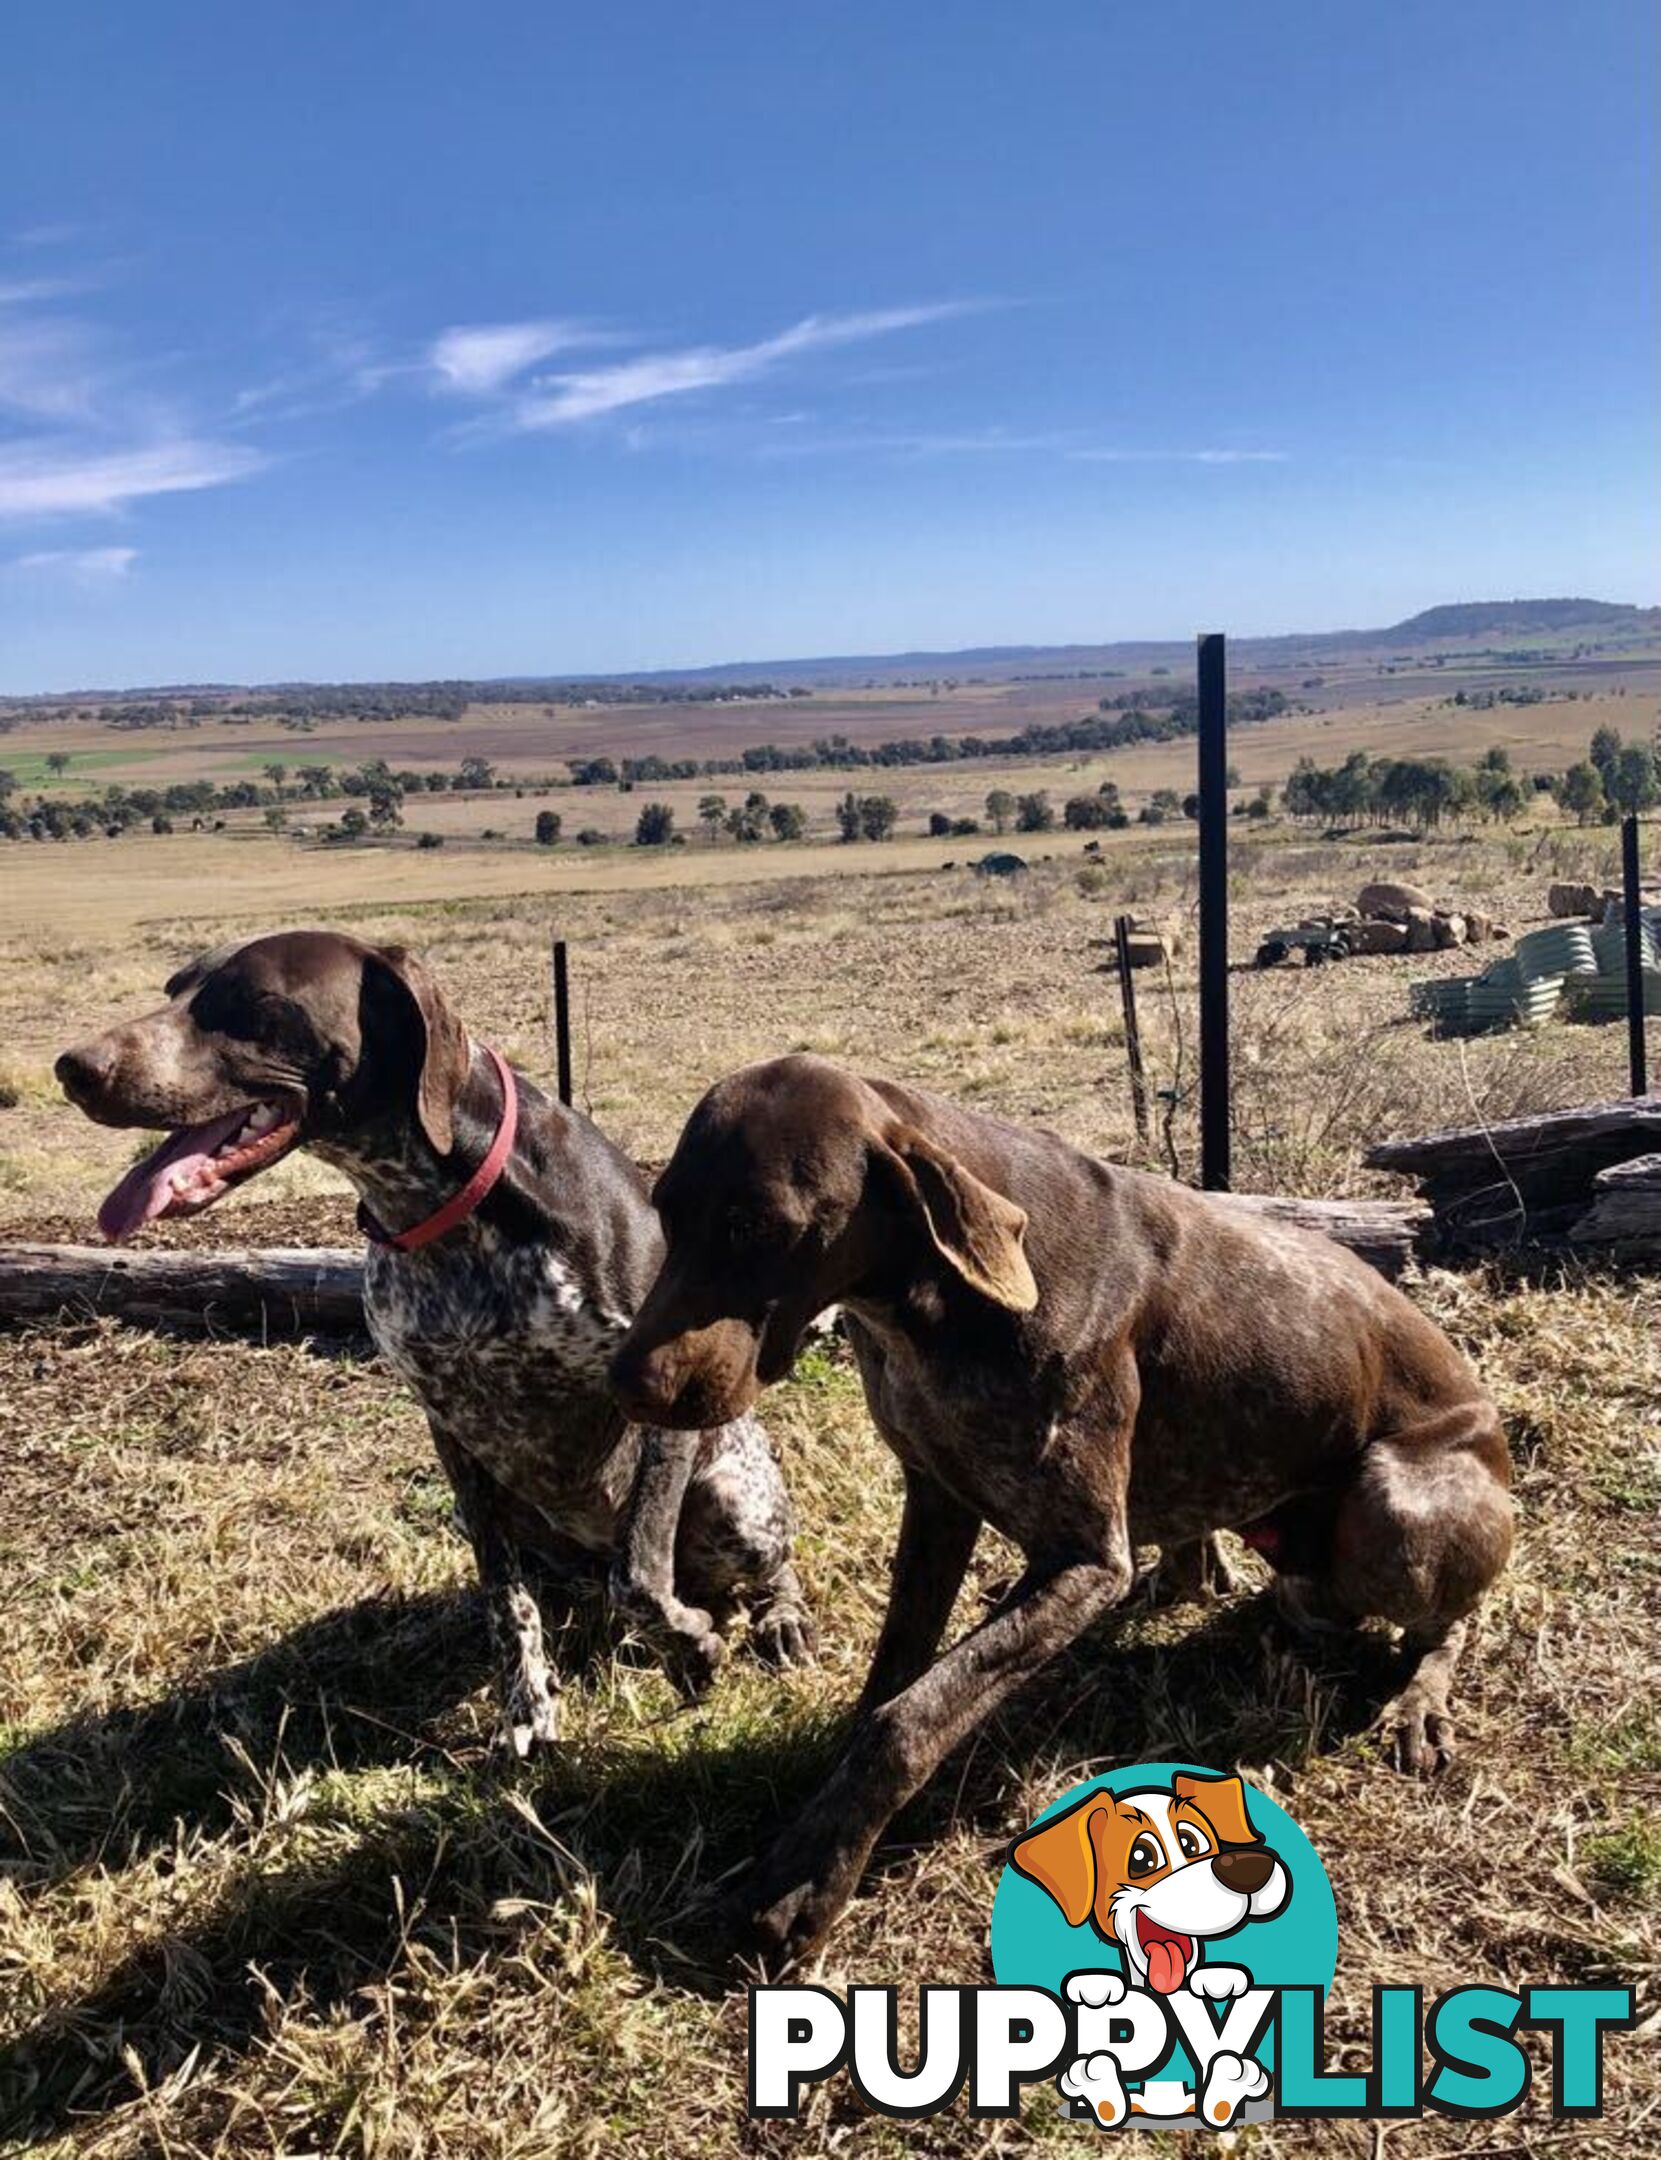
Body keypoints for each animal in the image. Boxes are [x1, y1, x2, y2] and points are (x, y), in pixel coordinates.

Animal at [58, 933, 816, 1753]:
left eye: (253, 1001)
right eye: (175, 989)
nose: (73, 1067)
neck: (446, 1210)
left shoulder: (658, 1401)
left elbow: (640, 1576)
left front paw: (693, 1645)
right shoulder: (451, 1425)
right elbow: (506, 1600)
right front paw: (527, 1708)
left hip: (738, 1498)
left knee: (759, 1565)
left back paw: (779, 1618)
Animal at [613, 1054, 1520, 1969]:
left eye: (757, 1225)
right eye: (667, 1213)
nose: (628, 1383)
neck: (935, 1308)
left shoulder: (1084, 1561)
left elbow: (908, 1719)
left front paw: (801, 1888)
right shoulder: (936, 1500)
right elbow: (890, 1682)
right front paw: (813, 1817)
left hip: (1393, 1501)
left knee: (1448, 1618)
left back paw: (1418, 1700)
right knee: (1237, 1576)